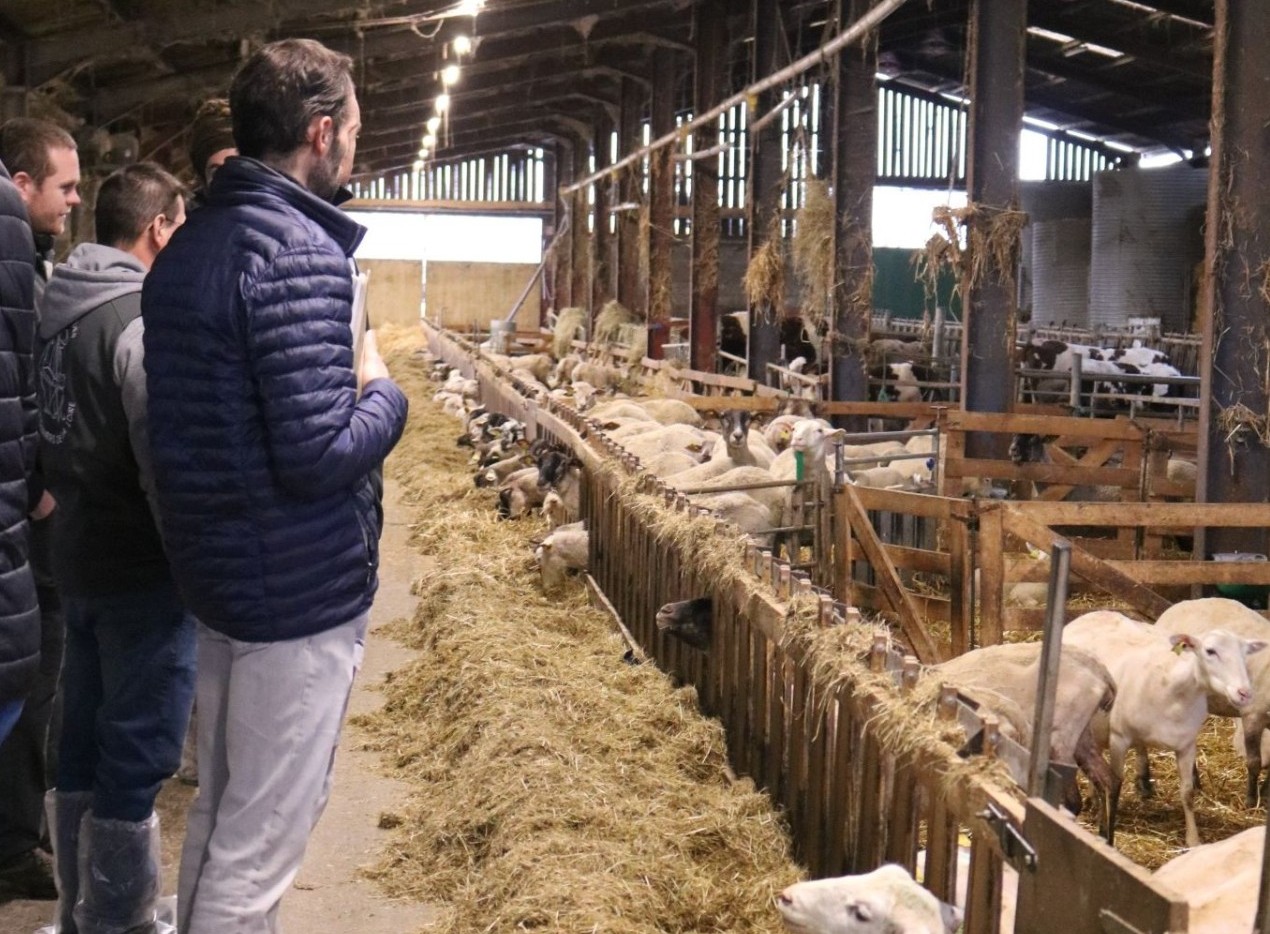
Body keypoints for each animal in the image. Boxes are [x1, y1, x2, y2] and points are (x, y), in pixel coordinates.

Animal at [1061, 607, 1259, 848]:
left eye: (1246, 653)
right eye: (1210, 651)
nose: (1244, 693)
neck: (1175, 691)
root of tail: (1093, 613)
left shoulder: (1186, 744)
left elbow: (1188, 793)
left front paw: (1193, 840)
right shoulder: (1119, 738)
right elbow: (1115, 784)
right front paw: (1108, 832)